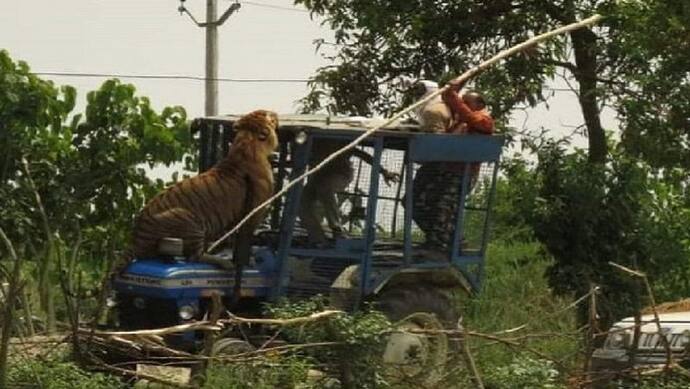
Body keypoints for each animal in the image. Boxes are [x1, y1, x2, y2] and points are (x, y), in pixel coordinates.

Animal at [127, 107, 278, 268]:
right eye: (268, 115)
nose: (275, 113)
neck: (245, 143)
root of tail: (134, 241)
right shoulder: (255, 211)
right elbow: (246, 236)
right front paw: (247, 261)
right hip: (188, 220)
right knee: (193, 257)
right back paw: (225, 263)